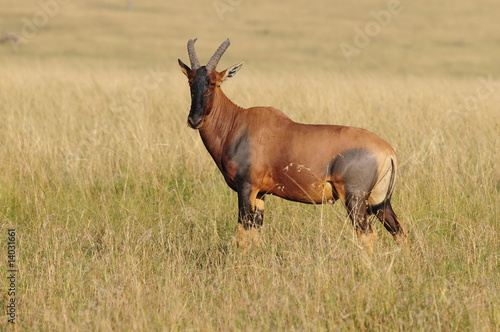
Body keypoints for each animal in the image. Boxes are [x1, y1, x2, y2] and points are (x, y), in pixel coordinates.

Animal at [179, 38, 406, 252]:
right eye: (190, 81)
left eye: (214, 83)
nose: (194, 120)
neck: (238, 122)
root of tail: (388, 151)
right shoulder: (260, 195)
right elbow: (256, 236)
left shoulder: (246, 188)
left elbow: (242, 236)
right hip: (379, 201)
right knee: (400, 232)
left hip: (355, 198)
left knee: (367, 236)